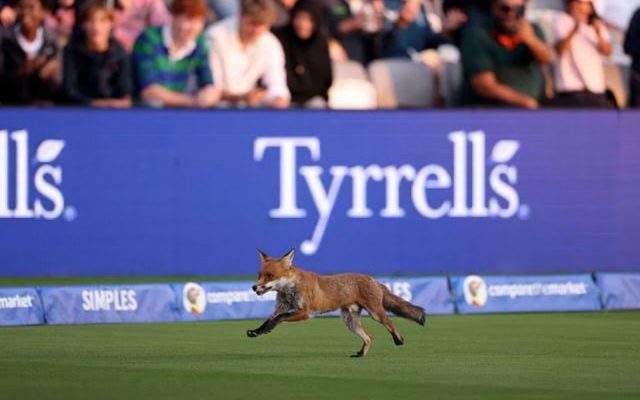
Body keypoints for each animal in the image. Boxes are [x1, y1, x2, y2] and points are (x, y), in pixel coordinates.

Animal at [247, 248, 426, 357]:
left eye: (270, 275)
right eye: (259, 275)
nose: (254, 287)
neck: (289, 290)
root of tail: (372, 279)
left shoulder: (304, 312)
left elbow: (280, 318)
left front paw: (267, 329)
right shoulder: (280, 308)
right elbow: (268, 320)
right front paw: (258, 331)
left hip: (375, 313)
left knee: (389, 323)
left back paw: (399, 340)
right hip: (350, 322)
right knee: (369, 337)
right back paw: (361, 354)